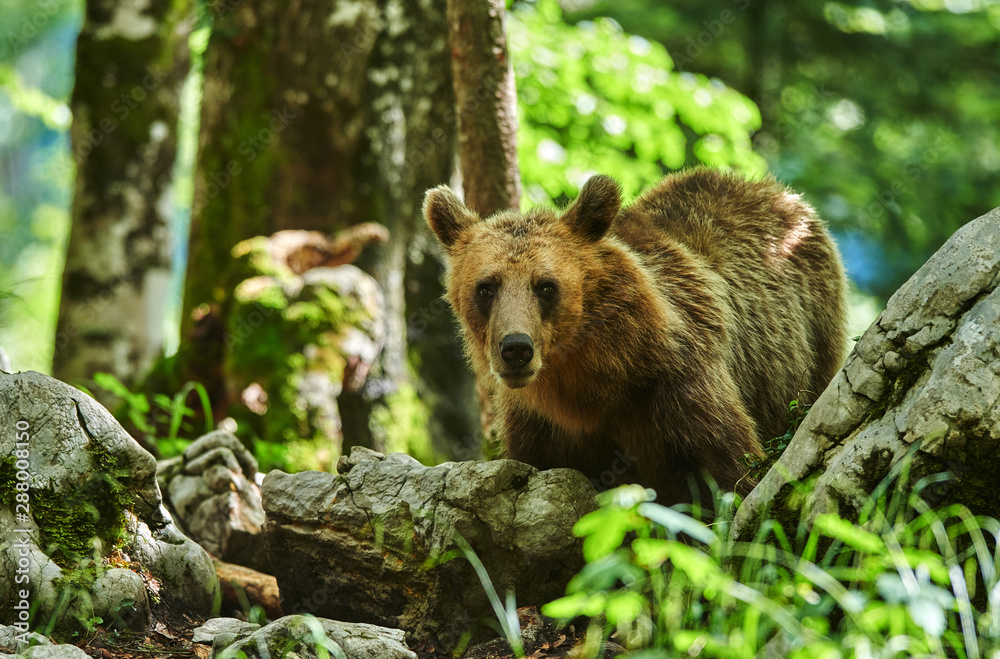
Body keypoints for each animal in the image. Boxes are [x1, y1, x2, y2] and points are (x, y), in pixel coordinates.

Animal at [423, 168, 847, 504]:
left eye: (545, 286)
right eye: (486, 287)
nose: (515, 348)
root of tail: (770, 189)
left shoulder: (682, 387)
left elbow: (728, 474)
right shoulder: (542, 429)